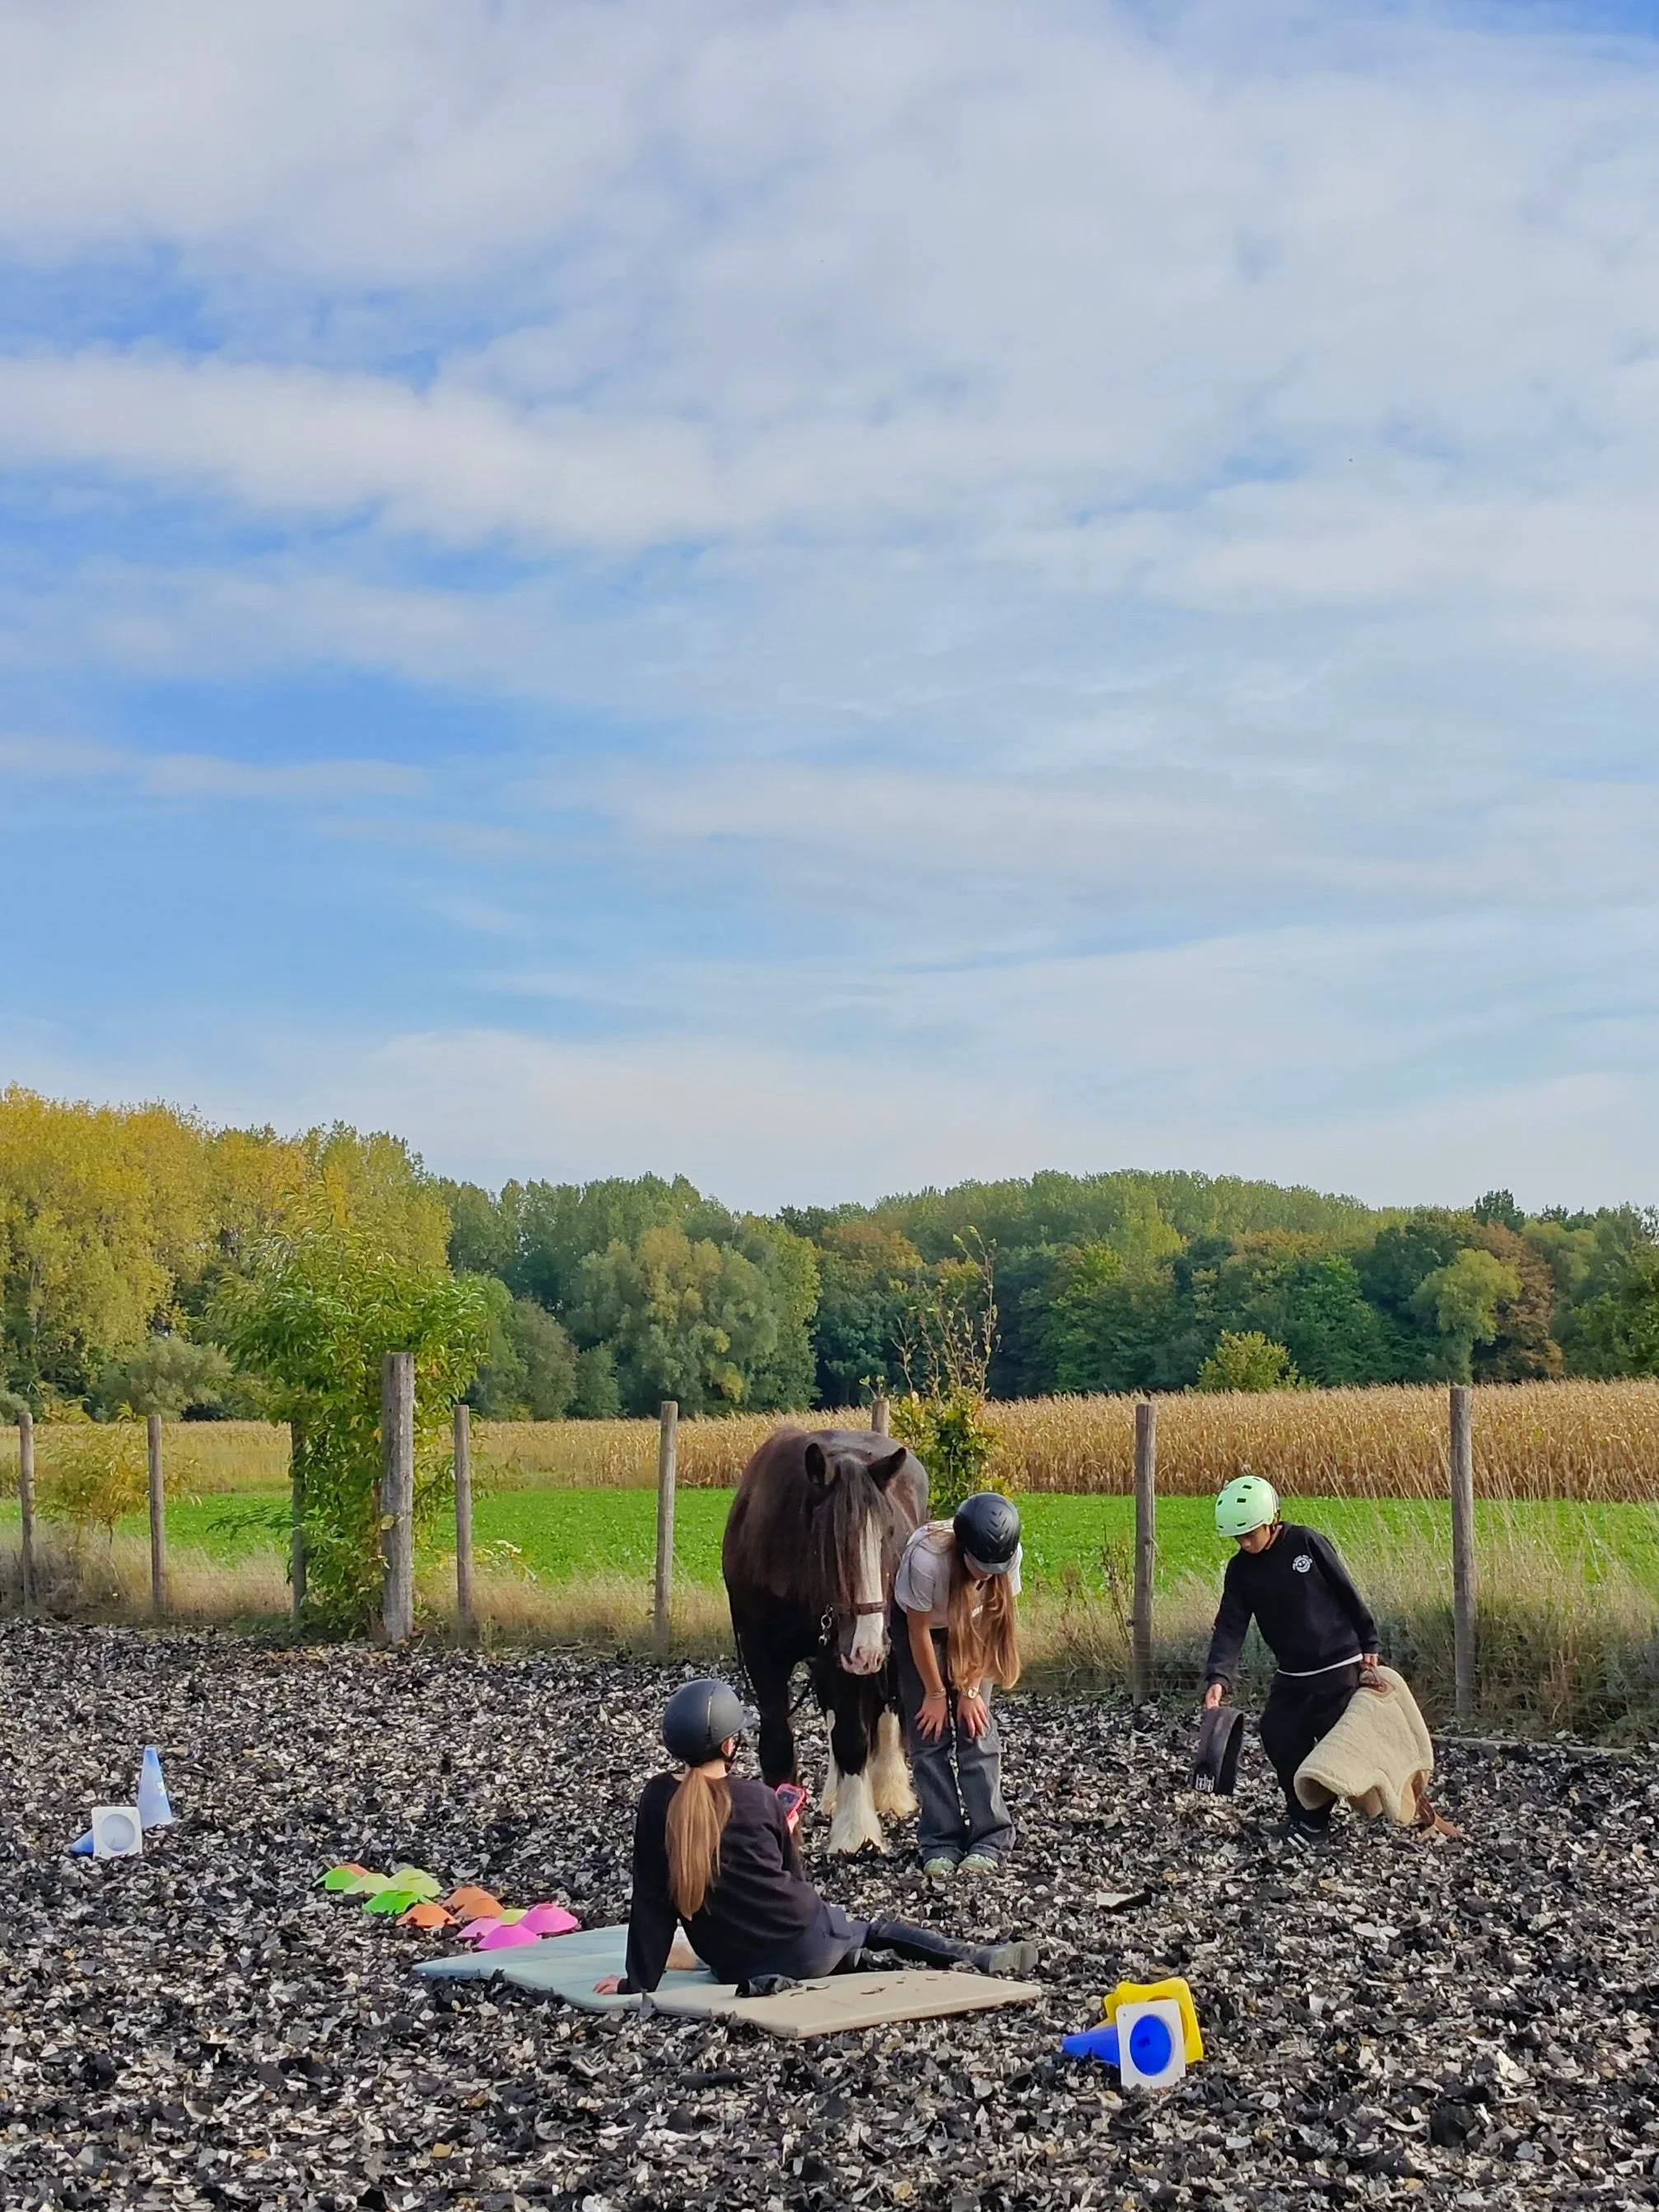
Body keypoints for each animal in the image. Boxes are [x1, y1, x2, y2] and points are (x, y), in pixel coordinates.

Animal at [722, 1426, 928, 1853]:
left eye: (887, 1534)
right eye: (831, 1542)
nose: (869, 1649)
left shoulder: (846, 1656)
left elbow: (852, 1738)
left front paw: (856, 1834)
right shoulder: (762, 1655)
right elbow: (778, 1744)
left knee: (886, 1708)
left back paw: (888, 1791)